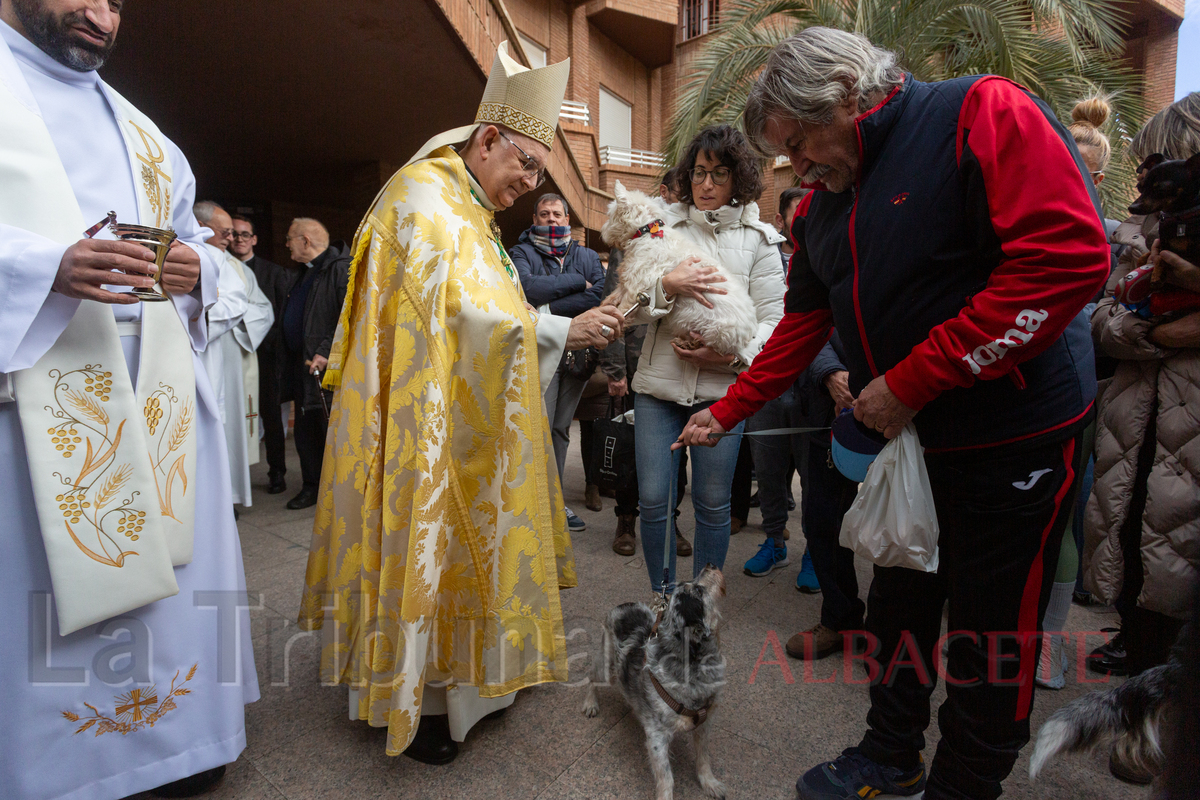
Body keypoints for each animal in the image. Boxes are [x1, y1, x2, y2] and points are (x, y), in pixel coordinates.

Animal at [604, 183, 753, 357]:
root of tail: (748, 336)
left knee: (711, 346)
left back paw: (688, 344)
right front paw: (601, 309)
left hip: (717, 332)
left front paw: (612, 327)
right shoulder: (628, 279)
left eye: (609, 214)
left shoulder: (637, 285)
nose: (603, 232)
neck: (645, 231)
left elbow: (622, 311)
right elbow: (613, 296)